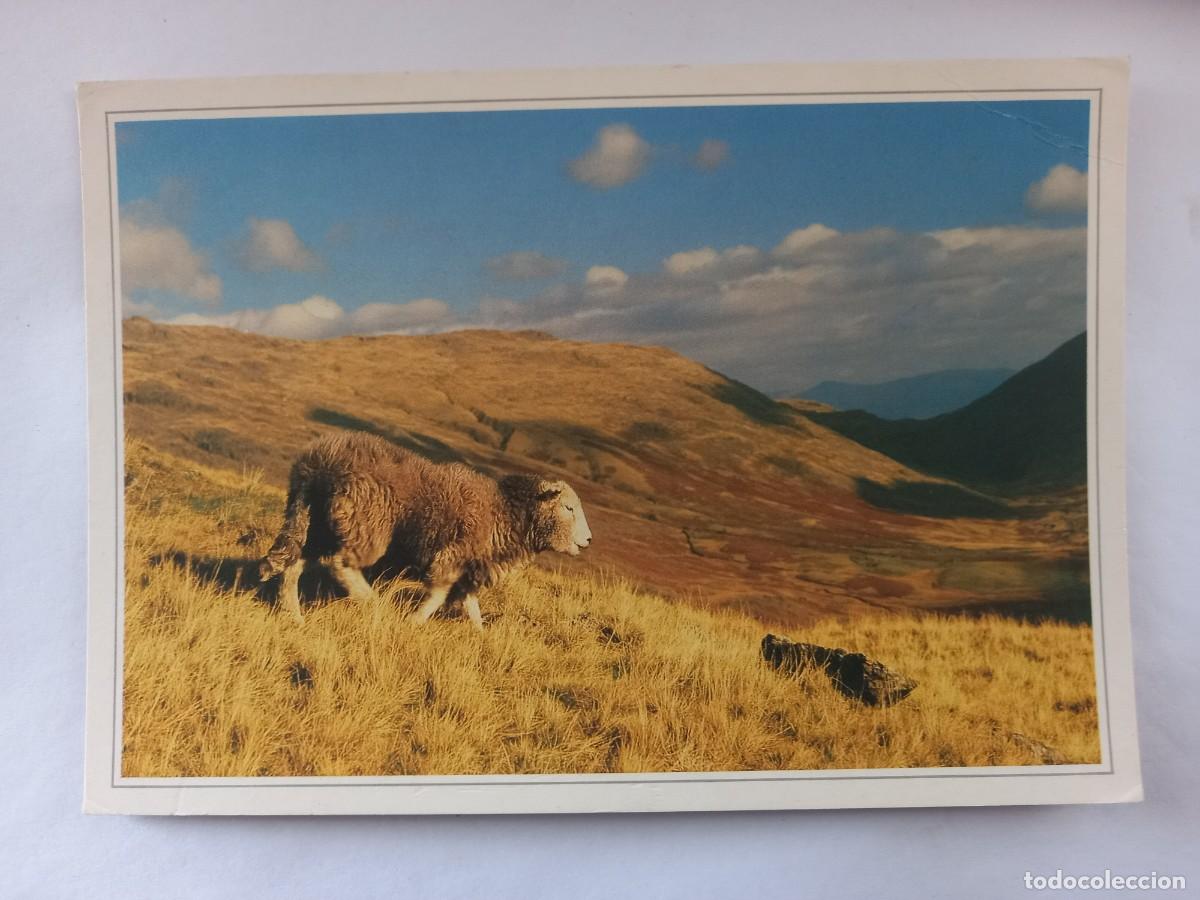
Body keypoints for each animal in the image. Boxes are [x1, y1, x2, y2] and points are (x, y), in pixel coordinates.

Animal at [258, 431, 592, 628]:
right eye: (568, 508)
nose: (588, 540)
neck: (503, 513)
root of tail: (318, 463)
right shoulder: (451, 555)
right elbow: (439, 594)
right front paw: (414, 621)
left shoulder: (470, 566)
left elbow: (471, 606)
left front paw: (480, 635)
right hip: (366, 523)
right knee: (341, 565)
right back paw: (372, 603)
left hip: (316, 524)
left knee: (294, 565)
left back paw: (294, 615)